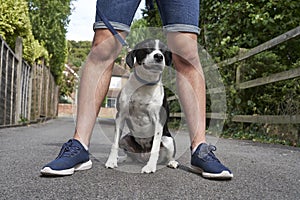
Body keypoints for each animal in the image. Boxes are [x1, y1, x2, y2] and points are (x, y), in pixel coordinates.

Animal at [105, 38, 178, 173]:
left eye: (164, 51)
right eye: (147, 48)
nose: (159, 56)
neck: (145, 83)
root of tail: (143, 156)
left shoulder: (158, 121)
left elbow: (155, 147)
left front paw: (150, 167)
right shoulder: (120, 116)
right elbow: (114, 143)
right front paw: (111, 161)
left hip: (168, 140)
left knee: (168, 156)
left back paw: (171, 162)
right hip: (125, 139)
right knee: (129, 156)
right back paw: (121, 159)